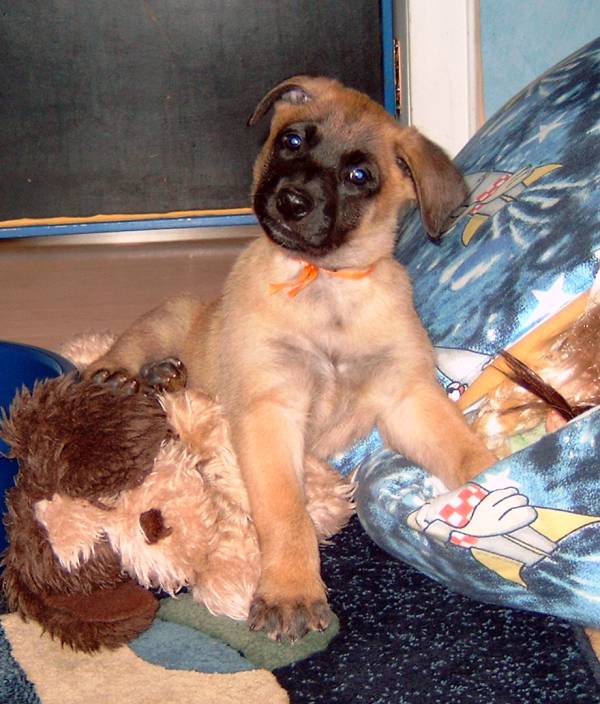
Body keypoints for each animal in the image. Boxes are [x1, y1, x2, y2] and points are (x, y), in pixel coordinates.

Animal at [85, 76, 496, 641]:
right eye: (293, 141)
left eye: (359, 175)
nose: (291, 201)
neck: (324, 288)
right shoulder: (271, 412)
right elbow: (288, 514)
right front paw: (292, 592)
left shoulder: (407, 399)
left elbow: (463, 449)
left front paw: (503, 481)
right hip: (171, 315)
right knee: (128, 343)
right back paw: (121, 374)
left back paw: (166, 379)